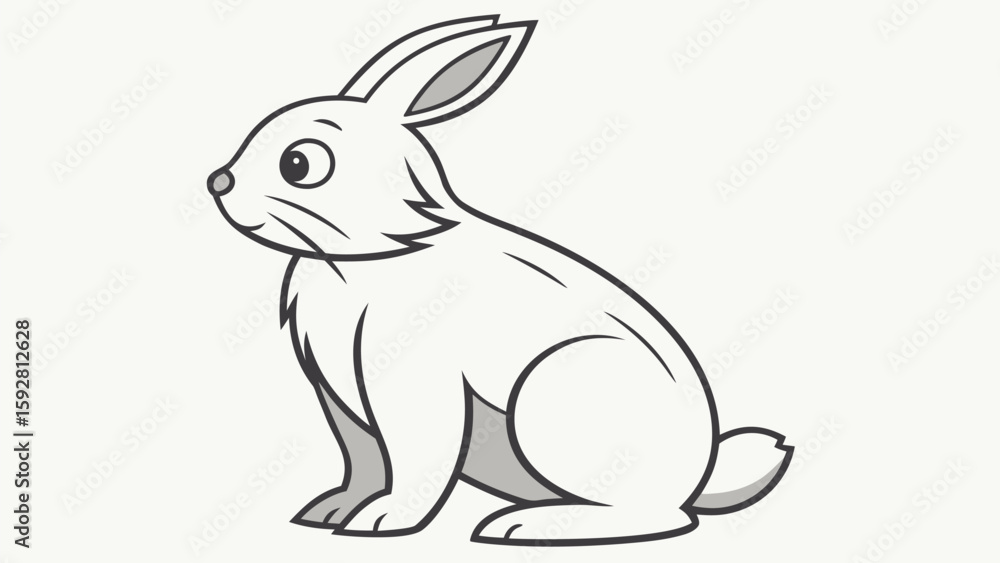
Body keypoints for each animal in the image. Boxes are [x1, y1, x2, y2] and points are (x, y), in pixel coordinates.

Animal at [207, 15, 792, 546]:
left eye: (299, 164)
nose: (218, 182)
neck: (377, 249)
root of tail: (698, 474)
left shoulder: (417, 386)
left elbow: (415, 456)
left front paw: (384, 521)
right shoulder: (340, 400)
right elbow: (363, 459)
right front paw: (332, 511)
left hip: (554, 394)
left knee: (659, 517)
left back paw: (525, 527)